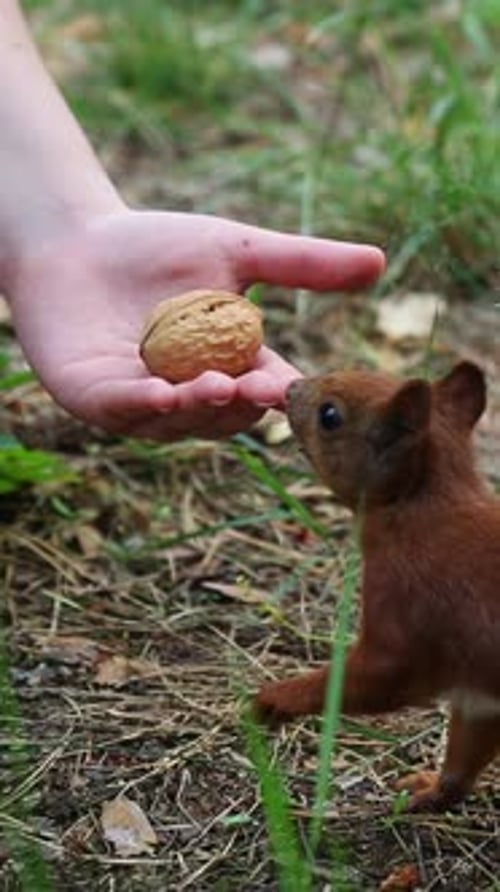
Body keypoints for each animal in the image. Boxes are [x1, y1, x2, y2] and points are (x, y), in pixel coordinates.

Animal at [255, 360, 500, 811]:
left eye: (330, 415)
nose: (290, 388)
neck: (421, 511)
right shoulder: (482, 698)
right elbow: (465, 754)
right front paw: (431, 790)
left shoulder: (407, 617)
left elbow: (373, 679)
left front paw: (274, 698)